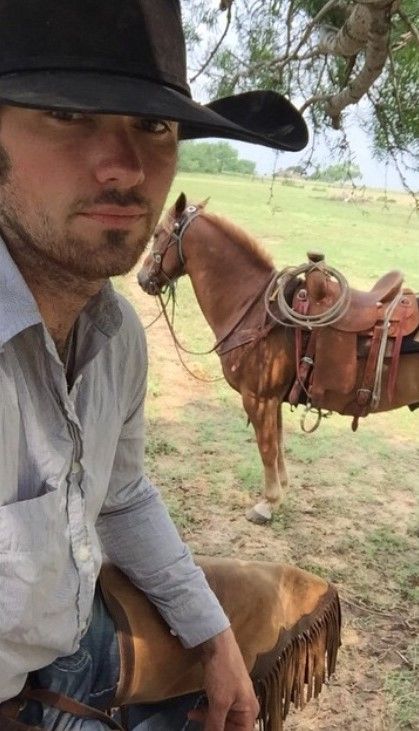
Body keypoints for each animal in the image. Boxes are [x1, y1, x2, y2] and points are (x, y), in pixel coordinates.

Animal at [139, 193, 419, 528]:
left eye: (158, 233)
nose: (141, 278)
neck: (254, 308)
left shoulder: (258, 398)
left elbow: (267, 448)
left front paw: (268, 503)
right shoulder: (275, 399)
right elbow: (279, 445)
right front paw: (282, 490)